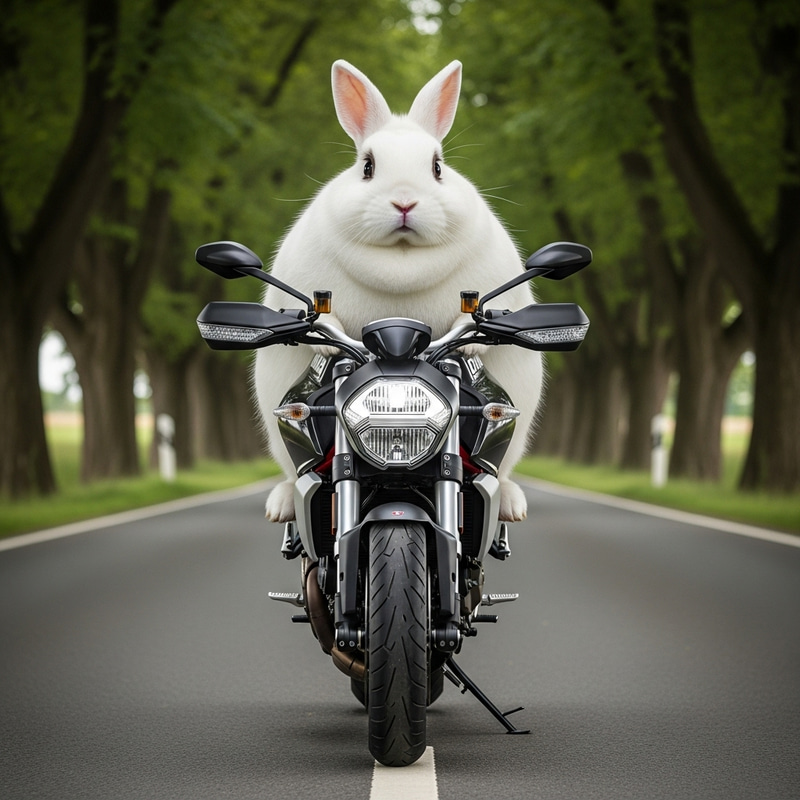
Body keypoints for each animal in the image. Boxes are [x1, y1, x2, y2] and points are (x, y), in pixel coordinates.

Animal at [254, 59, 543, 525]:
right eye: (367, 166)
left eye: (438, 167)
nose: (404, 202)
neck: (401, 260)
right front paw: (329, 341)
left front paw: (473, 343)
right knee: (288, 473)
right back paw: (280, 505)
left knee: (505, 473)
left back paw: (512, 504)